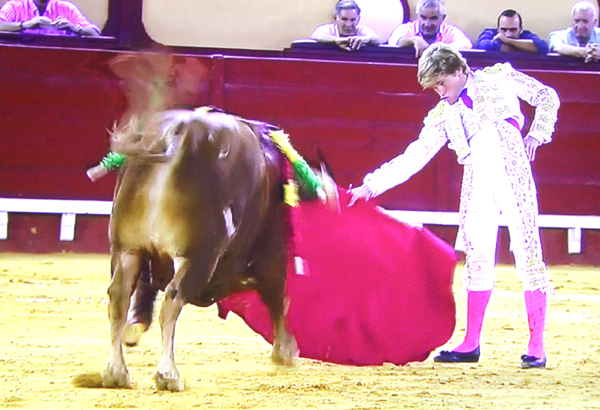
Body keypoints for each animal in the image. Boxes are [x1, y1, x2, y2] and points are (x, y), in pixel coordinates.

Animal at [101, 107, 300, 392]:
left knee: (118, 297)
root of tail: (180, 130)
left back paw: (116, 372)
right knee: (173, 298)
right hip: (197, 256)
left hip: (126, 249)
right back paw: (168, 373)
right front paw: (285, 351)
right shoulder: (271, 257)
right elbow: (278, 299)